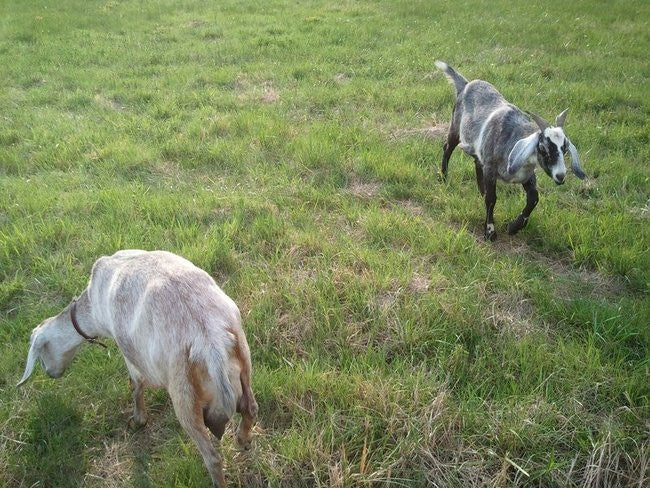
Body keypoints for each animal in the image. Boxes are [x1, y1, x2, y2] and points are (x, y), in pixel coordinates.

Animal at [17, 250, 256, 486]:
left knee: (212, 457)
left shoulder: (129, 352)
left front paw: (138, 420)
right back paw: (243, 440)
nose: (51, 374)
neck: (92, 308)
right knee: (251, 408)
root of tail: (211, 342)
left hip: (184, 395)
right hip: (244, 360)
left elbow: (136, 385)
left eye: (40, 356)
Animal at [432, 62, 584, 241]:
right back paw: (443, 177)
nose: (560, 176)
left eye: (565, 149)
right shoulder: (491, 168)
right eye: (542, 148)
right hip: (455, 126)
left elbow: (534, 198)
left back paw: (481, 190)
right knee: (447, 148)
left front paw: (514, 227)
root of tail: (466, 84)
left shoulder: (527, 175)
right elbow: (492, 199)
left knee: (477, 162)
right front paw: (490, 231)